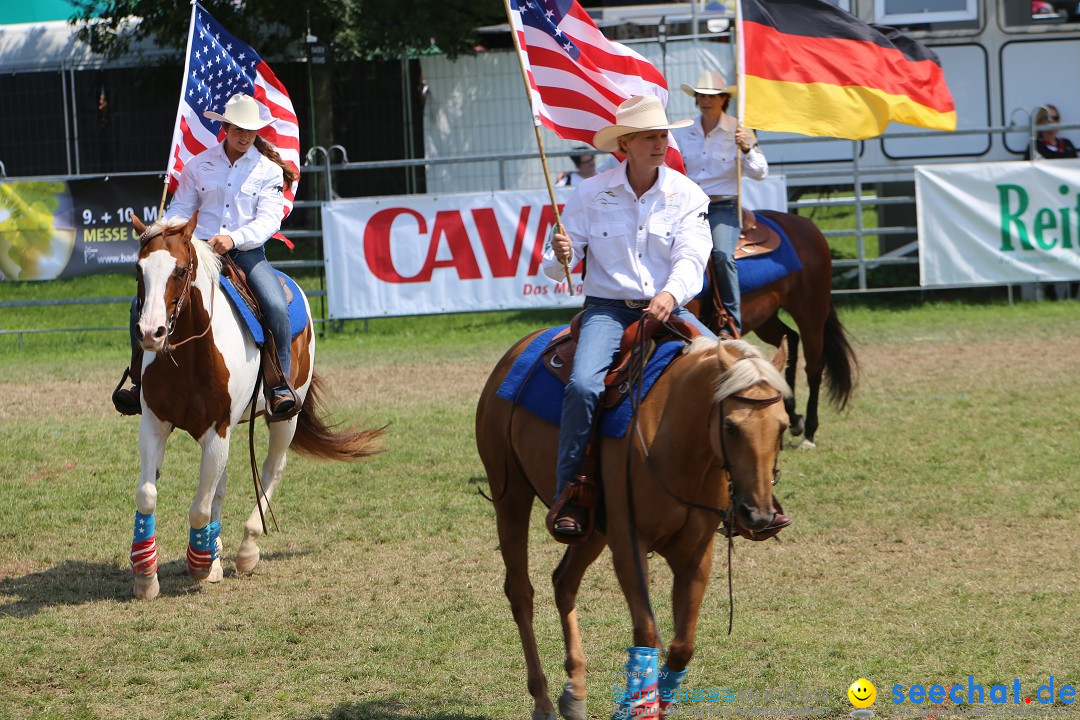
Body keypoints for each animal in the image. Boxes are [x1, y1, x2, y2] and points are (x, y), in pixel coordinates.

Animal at [126, 215, 384, 604]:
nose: (150, 333)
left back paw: (246, 549)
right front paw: (146, 576)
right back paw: (216, 557)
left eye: (181, 270)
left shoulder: (217, 429)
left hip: (286, 419)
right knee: (220, 484)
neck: (190, 354)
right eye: (139, 269)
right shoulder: (156, 424)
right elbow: (148, 495)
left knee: (271, 469)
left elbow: (200, 508)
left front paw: (199, 564)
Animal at [477, 332, 790, 720]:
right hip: (511, 497)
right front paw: (635, 706)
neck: (677, 441)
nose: (757, 515)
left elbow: (682, 646)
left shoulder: (696, 553)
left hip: (591, 528)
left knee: (564, 582)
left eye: (783, 425)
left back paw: (574, 693)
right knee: (520, 592)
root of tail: (519, 348)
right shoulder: (629, 545)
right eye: (730, 426)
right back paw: (543, 702)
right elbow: (647, 633)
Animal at [691, 208, 859, 446]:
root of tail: (806, 225)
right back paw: (793, 417)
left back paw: (809, 432)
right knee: (790, 339)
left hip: (811, 314)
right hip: (766, 318)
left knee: (814, 367)